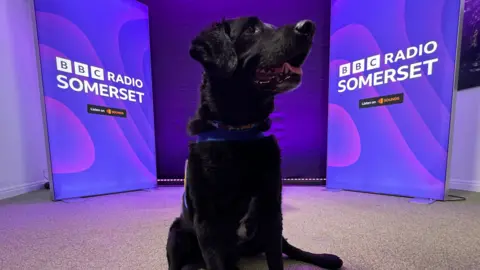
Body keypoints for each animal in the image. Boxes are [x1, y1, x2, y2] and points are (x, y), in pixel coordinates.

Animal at [167, 16, 344, 270]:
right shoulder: (206, 222)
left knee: (288, 246)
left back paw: (325, 258)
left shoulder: (272, 210)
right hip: (176, 233)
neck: (240, 133)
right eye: (251, 29)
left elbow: (277, 258)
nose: (308, 27)